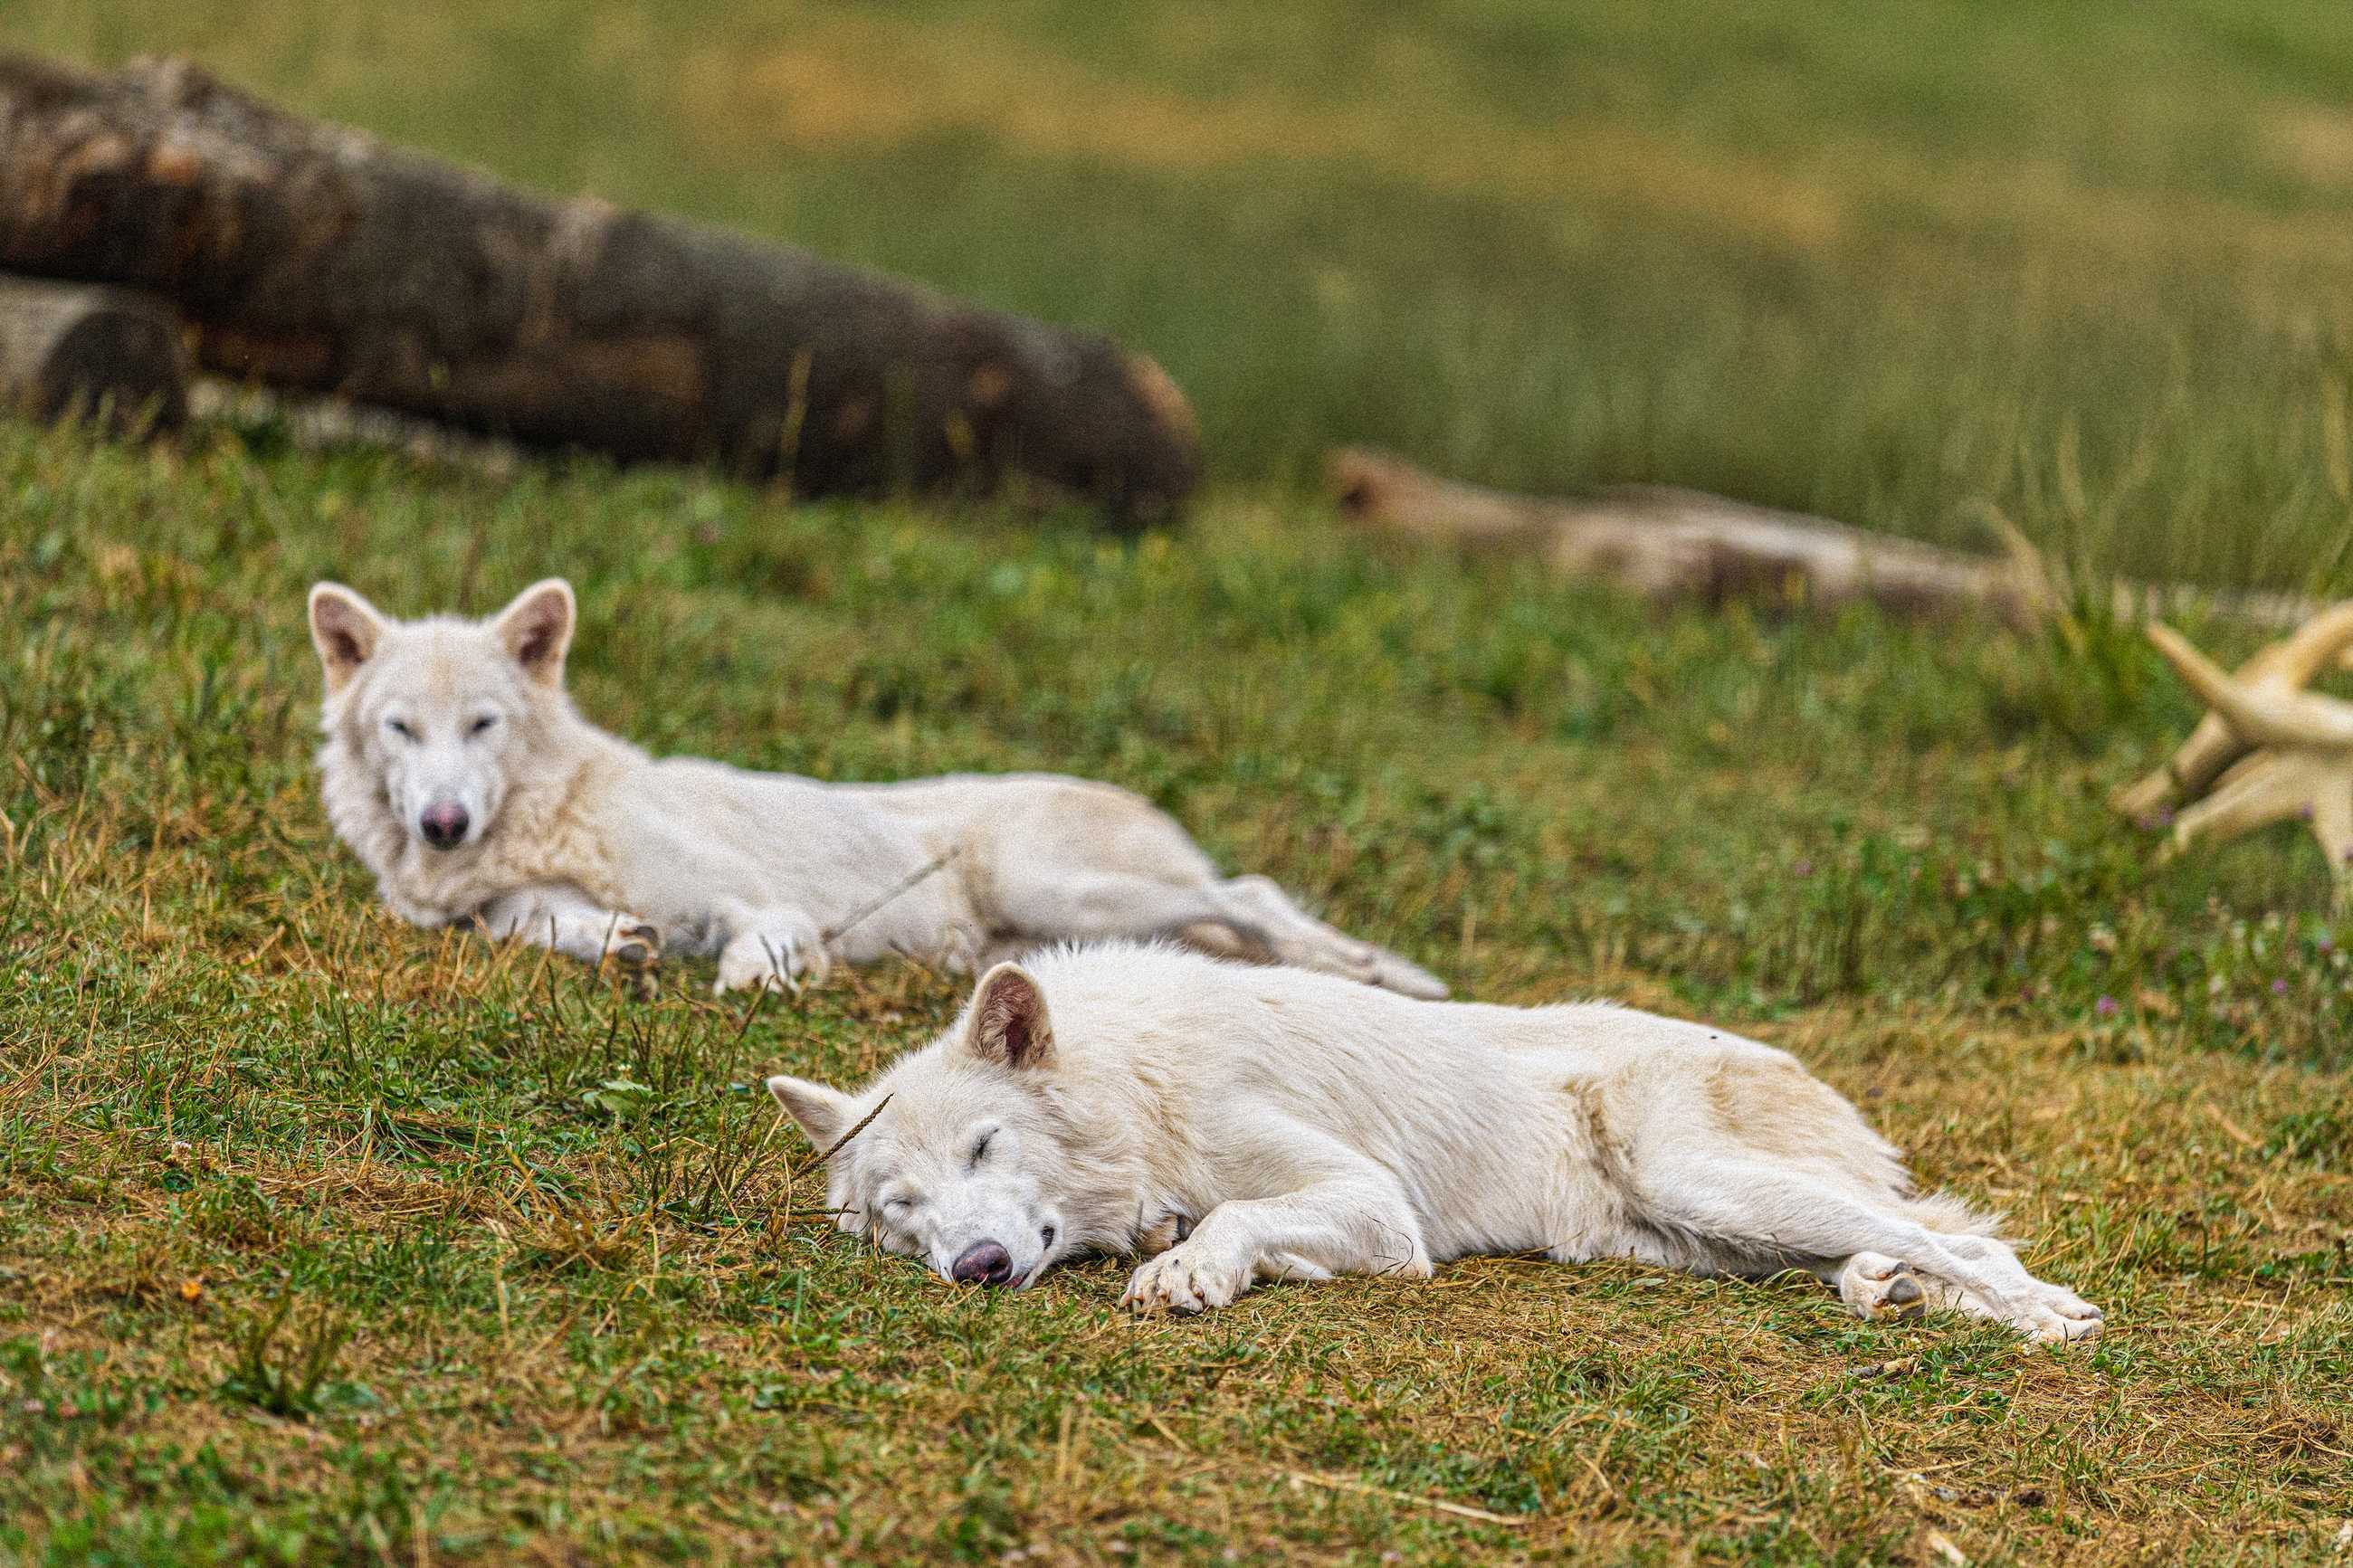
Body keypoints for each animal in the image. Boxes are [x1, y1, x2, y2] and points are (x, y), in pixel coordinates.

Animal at [306, 580, 1445, 997]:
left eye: (482, 724)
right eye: (401, 727)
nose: (442, 823)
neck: (547, 814)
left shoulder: (742, 885)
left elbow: (756, 928)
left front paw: (762, 969)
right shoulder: (503, 908)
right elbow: (545, 926)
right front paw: (620, 942)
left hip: (1064, 888)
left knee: (1253, 891)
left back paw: (1373, 972)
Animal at [765, 943, 2105, 1342]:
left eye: (986, 1147)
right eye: (899, 1210)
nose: (975, 1268)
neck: (1144, 1083)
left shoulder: (1374, 1202)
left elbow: (1237, 1215)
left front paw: (1187, 1268)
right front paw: (1179, 1250)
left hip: (1708, 1181)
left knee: (1967, 1248)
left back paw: (2049, 1320)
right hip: (1704, 1231)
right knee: (1909, 1247)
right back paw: (1890, 1289)